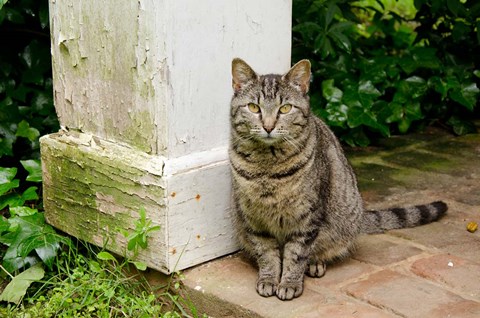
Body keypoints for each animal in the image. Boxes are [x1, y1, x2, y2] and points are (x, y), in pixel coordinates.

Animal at [228, 57, 446, 300]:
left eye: (285, 108)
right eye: (253, 107)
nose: (268, 126)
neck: (267, 166)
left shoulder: (307, 218)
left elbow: (296, 254)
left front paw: (290, 283)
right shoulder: (254, 219)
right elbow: (266, 254)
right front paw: (268, 279)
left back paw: (315, 264)